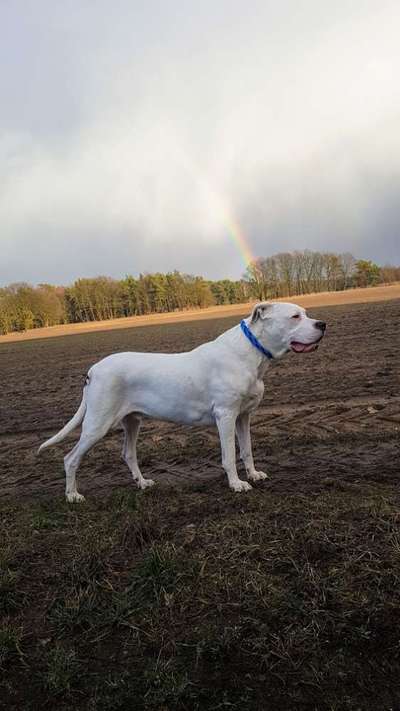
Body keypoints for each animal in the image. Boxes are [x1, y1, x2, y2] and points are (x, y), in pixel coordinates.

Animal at [38, 302, 324, 500]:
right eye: (295, 317)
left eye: (306, 313)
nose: (322, 324)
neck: (253, 352)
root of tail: (93, 370)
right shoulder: (226, 415)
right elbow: (230, 455)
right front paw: (237, 484)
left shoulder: (244, 416)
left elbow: (247, 450)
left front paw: (253, 474)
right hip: (97, 424)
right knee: (70, 458)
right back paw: (73, 496)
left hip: (131, 422)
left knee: (128, 453)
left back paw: (143, 483)